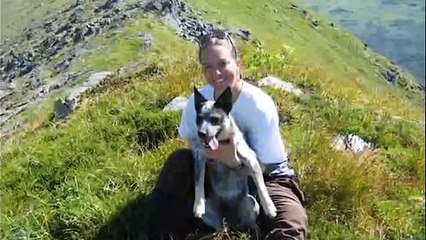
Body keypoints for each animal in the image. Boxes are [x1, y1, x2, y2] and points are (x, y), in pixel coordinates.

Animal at [191, 86, 278, 231]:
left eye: (215, 119)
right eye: (199, 118)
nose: (201, 133)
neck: (222, 143)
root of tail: (231, 221)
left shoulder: (251, 159)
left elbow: (261, 186)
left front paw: (269, 207)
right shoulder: (200, 159)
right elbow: (198, 183)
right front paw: (198, 205)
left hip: (251, 203)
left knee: (249, 224)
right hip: (212, 213)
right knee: (220, 227)